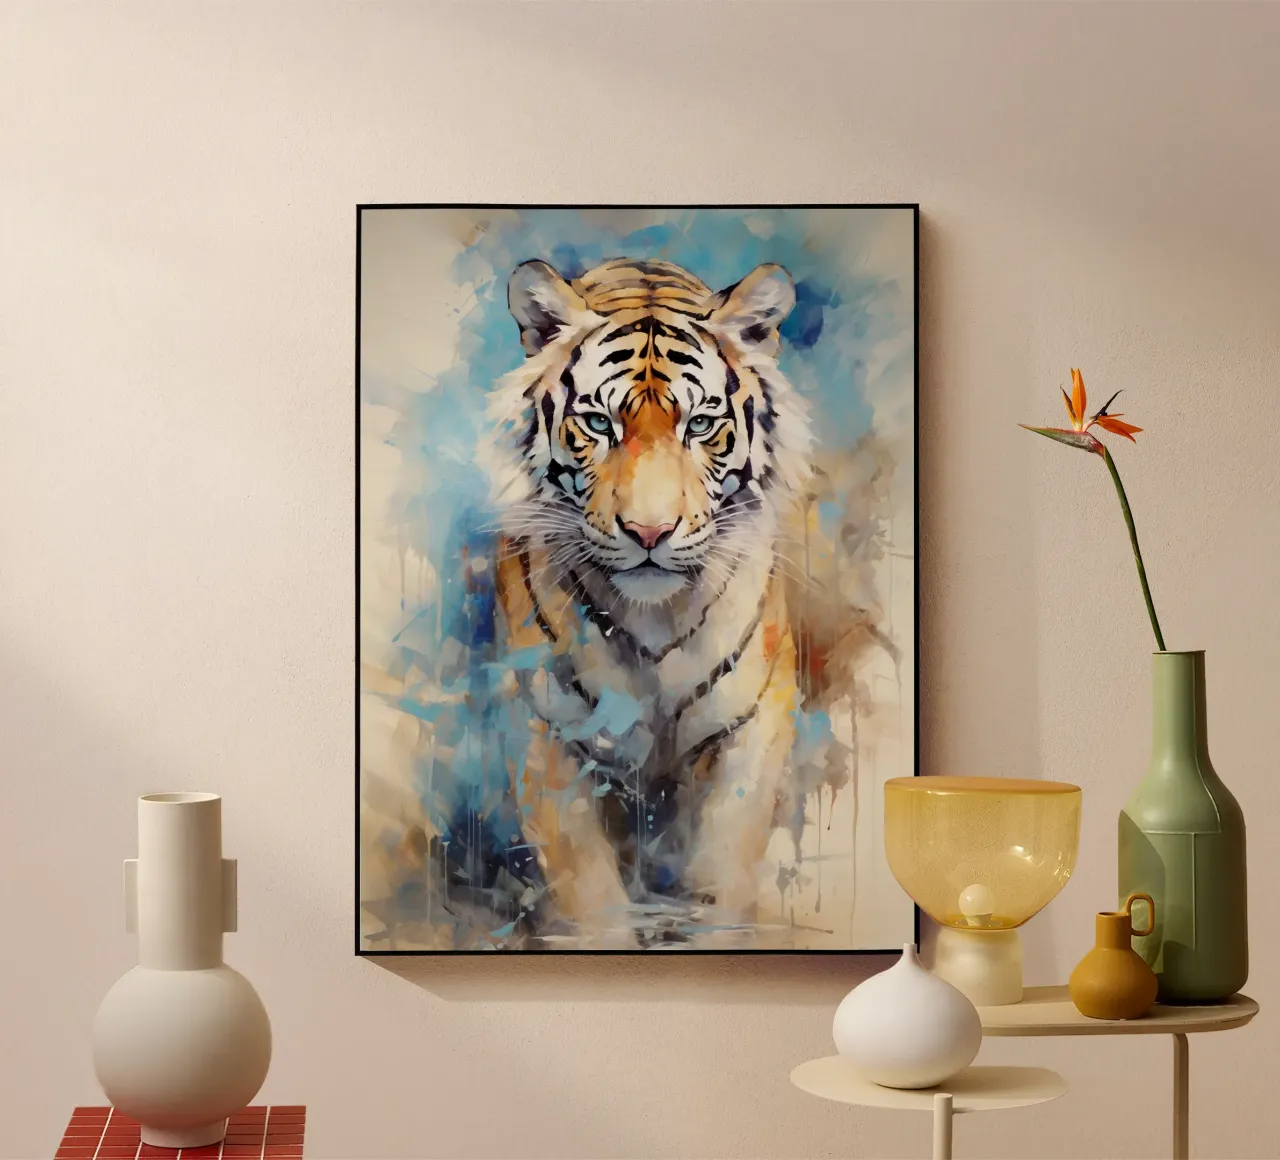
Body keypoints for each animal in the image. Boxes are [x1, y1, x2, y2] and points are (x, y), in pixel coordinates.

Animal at [485, 256, 814, 947]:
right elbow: (590, 894)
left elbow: (721, 873)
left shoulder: (752, 726)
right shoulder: (547, 731)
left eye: (701, 424)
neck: (655, 618)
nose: (649, 532)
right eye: (598, 423)